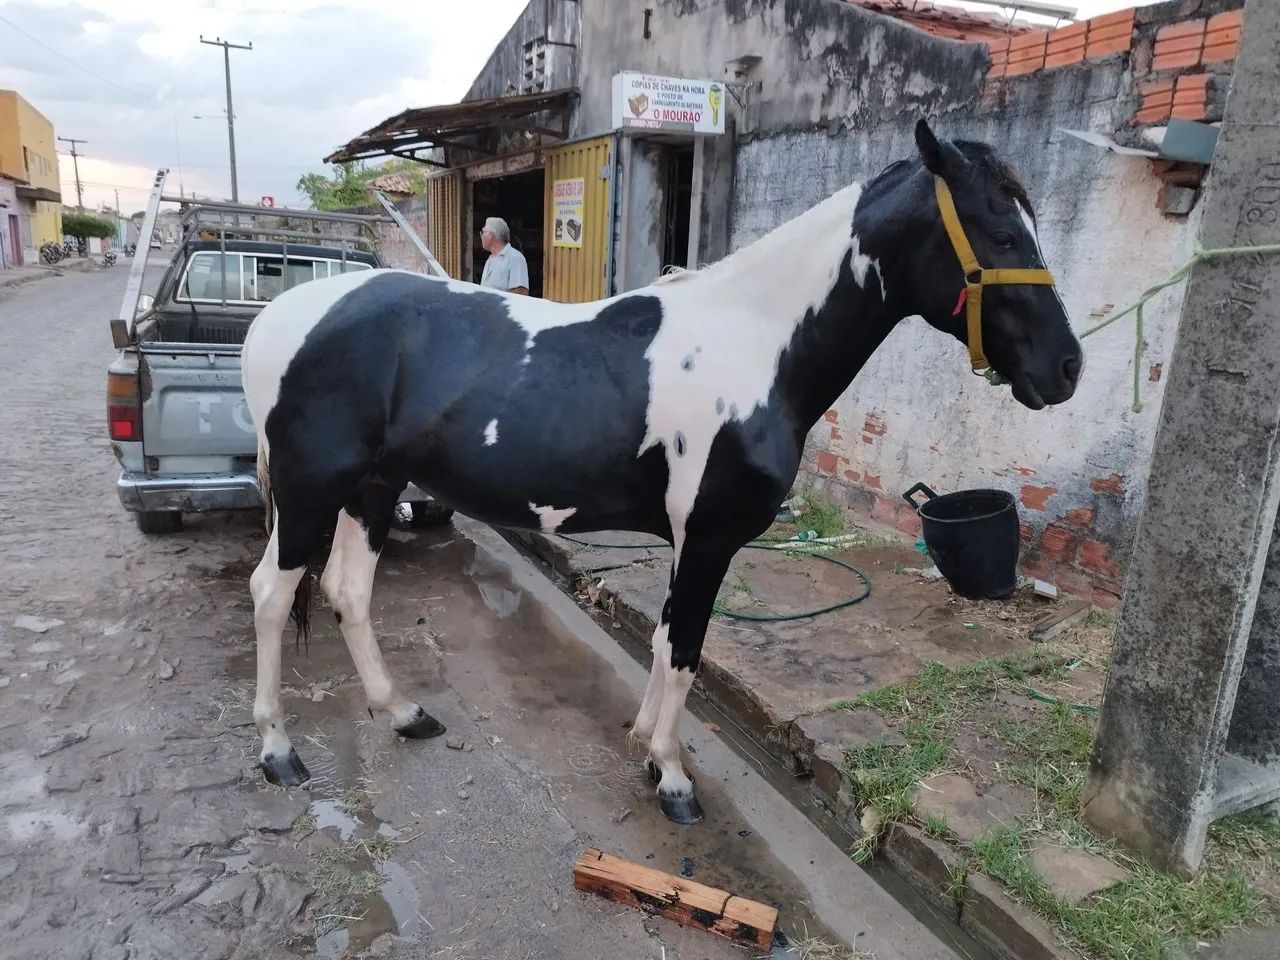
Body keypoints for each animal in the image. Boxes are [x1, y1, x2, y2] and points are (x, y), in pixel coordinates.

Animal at [240, 119, 1082, 824]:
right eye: (1000, 233)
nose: (1067, 367)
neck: (754, 343)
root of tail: (276, 316)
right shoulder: (708, 535)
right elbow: (683, 653)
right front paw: (673, 778)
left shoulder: (687, 539)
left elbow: (664, 642)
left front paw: (649, 747)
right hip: (312, 491)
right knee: (273, 596)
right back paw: (279, 752)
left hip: (372, 489)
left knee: (348, 592)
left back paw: (404, 714)